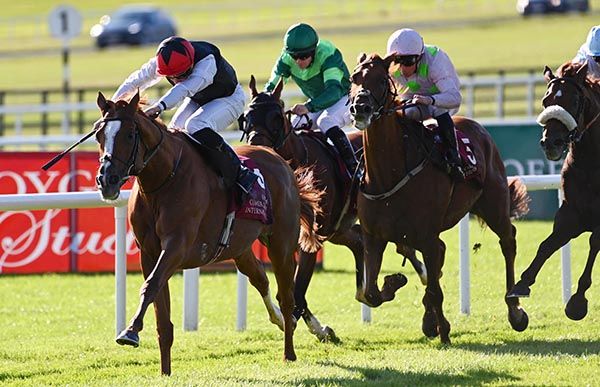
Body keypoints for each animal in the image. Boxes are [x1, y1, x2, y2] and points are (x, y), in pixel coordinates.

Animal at [92, 91, 324, 376]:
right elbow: (161, 313)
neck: (163, 178)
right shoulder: (149, 252)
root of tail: (281, 160)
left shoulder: (177, 246)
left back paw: (289, 351)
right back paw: (279, 320)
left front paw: (130, 331)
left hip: (281, 243)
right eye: (99, 134)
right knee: (260, 279)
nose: (107, 180)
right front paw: (165, 371)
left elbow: (151, 286)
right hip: (240, 247)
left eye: (128, 135)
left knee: (287, 295)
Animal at [239, 76, 426, 342]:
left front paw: (302, 324)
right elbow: (294, 291)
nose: (257, 148)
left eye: (277, 116)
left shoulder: (310, 239)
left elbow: (298, 290)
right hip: (339, 228)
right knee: (359, 241)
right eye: (246, 117)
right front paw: (318, 328)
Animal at [352, 52, 528, 346]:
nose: (360, 107)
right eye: (354, 78)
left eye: (381, 79)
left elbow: (435, 289)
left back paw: (515, 309)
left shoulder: (425, 235)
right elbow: (370, 293)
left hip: (494, 206)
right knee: (442, 253)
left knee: (508, 241)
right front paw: (394, 282)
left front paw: (443, 328)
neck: (388, 175)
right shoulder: (374, 236)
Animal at [508, 60, 600, 322]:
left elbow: (594, 243)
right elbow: (547, 245)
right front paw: (521, 284)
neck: (592, 161)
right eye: (545, 100)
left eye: (575, 101)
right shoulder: (571, 213)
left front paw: (577, 301)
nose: (552, 143)